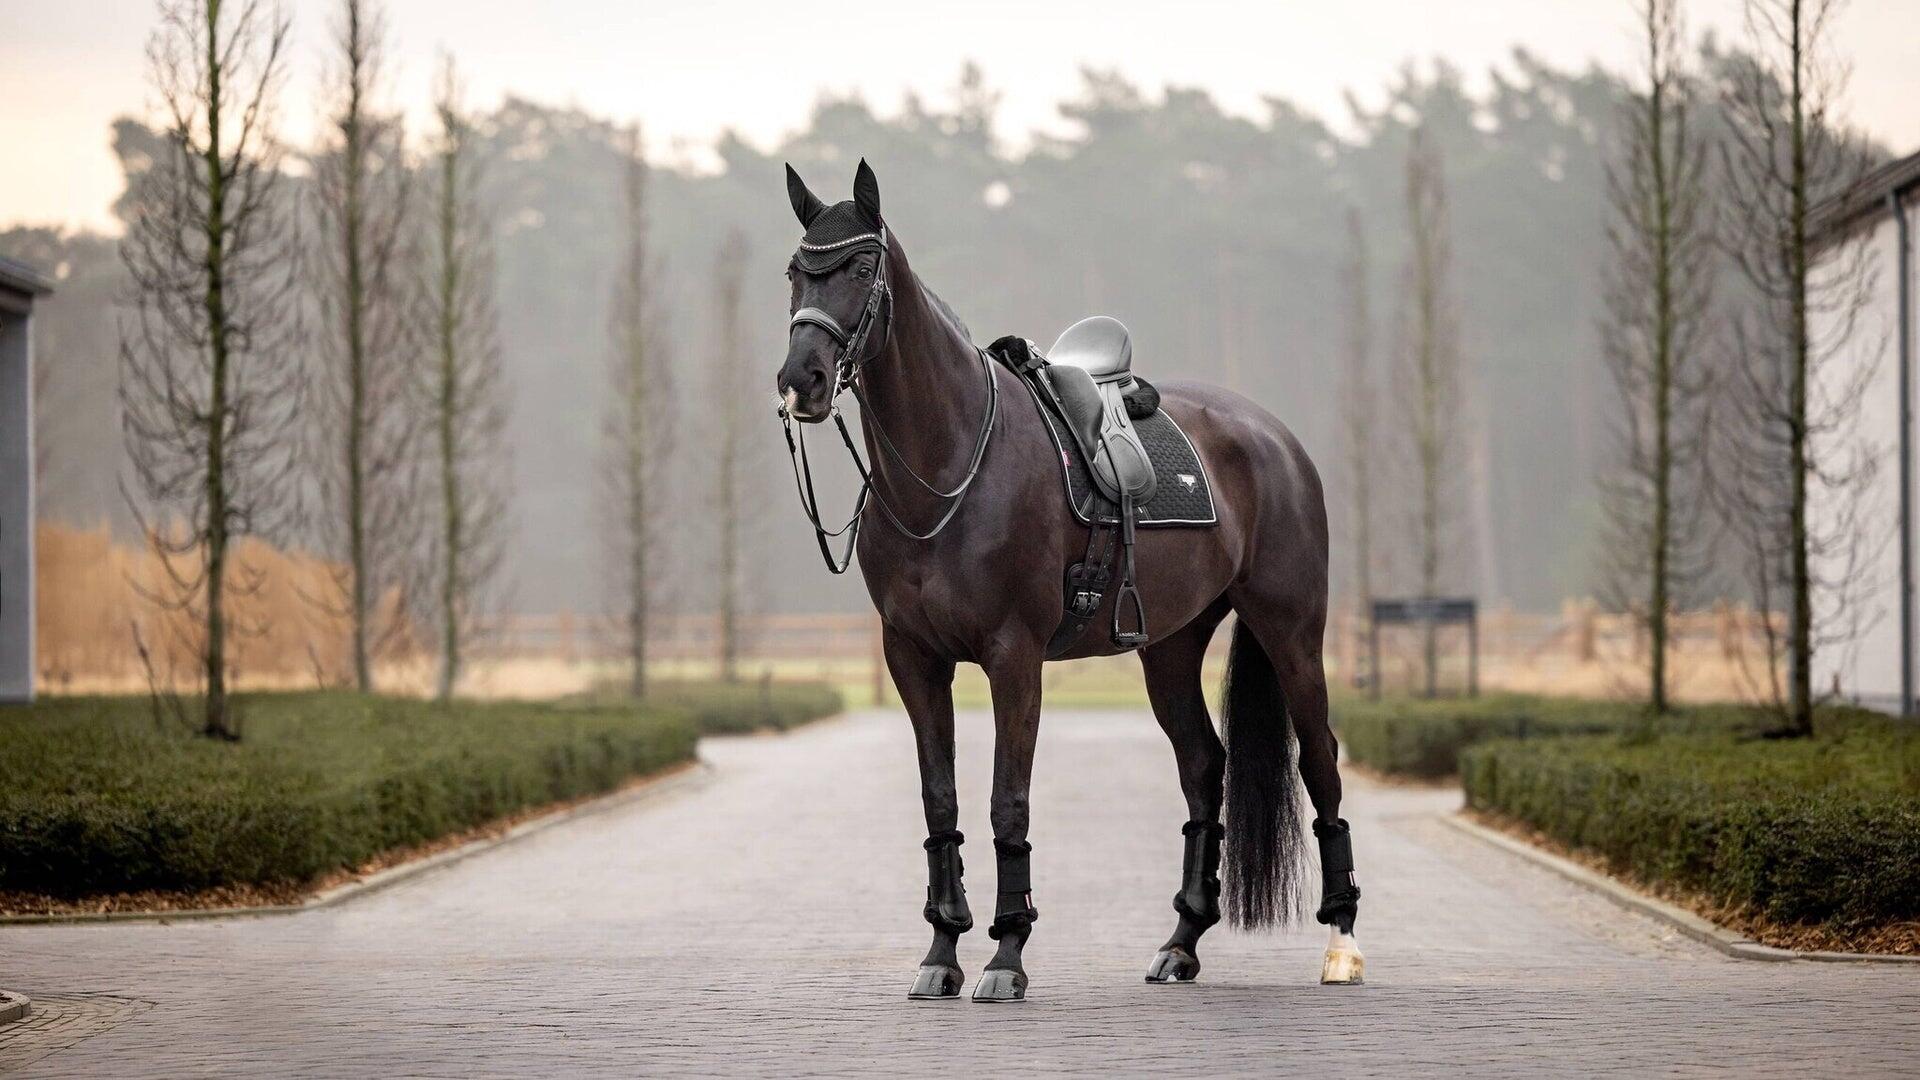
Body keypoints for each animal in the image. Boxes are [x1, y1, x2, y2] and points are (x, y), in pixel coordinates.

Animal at [774, 159, 1363, 1002]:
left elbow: (1007, 802)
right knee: (1202, 767)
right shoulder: (913, 658)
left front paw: (1006, 955)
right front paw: (941, 952)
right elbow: (941, 801)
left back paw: (1342, 944)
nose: (802, 380)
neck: (950, 468)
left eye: (859, 268)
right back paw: (1179, 943)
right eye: (796, 271)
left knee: (1320, 762)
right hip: (1171, 646)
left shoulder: (1013, 656)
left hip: (1291, 633)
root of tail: (1272, 436)